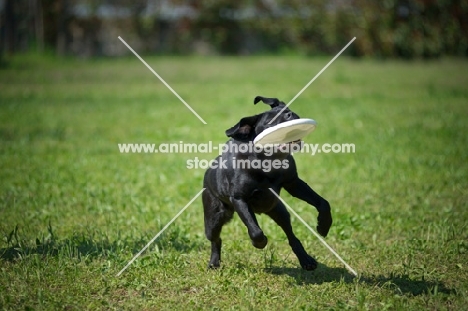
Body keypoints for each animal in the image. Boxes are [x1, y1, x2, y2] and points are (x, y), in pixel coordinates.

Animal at [202, 95, 332, 270]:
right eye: (271, 122)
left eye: (288, 110)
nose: (290, 114)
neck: (268, 162)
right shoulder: (240, 199)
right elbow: (255, 231)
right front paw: (260, 243)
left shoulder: (294, 183)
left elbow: (322, 202)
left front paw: (324, 226)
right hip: (213, 219)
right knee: (216, 239)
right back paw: (214, 263)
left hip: (279, 210)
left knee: (291, 236)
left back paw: (306, 260)